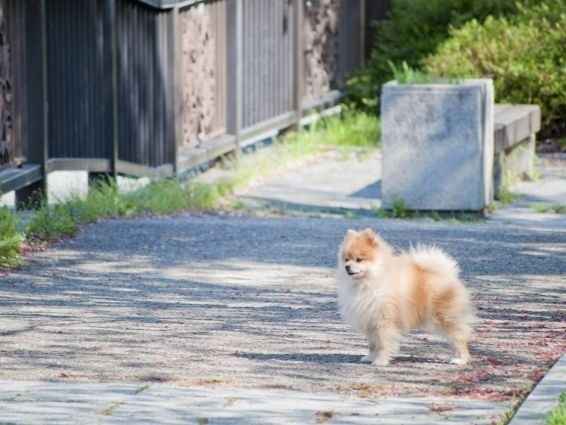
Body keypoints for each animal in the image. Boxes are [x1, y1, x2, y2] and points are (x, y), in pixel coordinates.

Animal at [338, 229, 474, 364]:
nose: (347, 267)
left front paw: (380, 360)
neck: (367, 282)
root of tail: (448, 274)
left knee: (459, 338)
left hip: (446, 317)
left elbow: (383, 343)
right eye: (346, 259)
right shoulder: (369, 320)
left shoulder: (384, 319)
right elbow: (372, 344)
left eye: (359, 259)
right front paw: (370, 357)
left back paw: (460, 359)